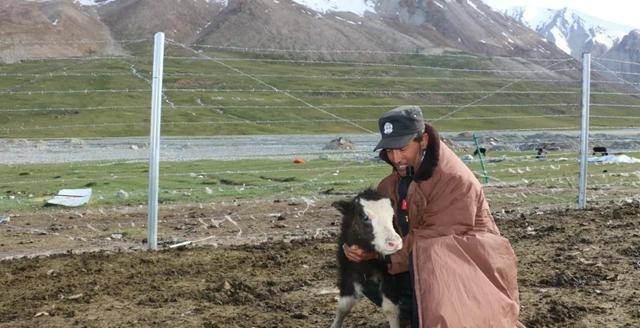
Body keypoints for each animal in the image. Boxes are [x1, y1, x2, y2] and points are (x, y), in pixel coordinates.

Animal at [332, 188, 402, 328]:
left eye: (392, 216)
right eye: (365, 217)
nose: (394, 243)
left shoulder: (389, 275)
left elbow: (390, 309)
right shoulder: (347, 271)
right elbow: (343, 306)